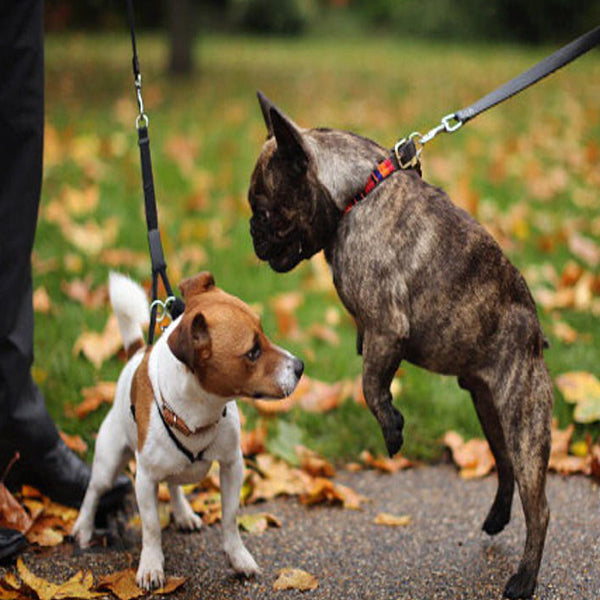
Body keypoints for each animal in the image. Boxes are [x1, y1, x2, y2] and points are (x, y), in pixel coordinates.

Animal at [72, 272, 302, 592]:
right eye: (253, 352)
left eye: (264, 334)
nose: (300, 367)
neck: (199, 413)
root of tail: (137, 353)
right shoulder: (144, 480)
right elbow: (151, 528)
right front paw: (151, 565)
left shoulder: (232, 465)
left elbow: (230, 518)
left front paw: (238, 557)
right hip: (109, 461)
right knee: (94, 492)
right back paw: (84, 527)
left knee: (174, 485)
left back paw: (182, 513)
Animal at [247, 92, 552, 600]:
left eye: (266, 210)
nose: (252, 231)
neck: (355, 194)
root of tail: (535, 333)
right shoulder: (377, 335)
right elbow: (372, 380)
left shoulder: (385, 331)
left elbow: (371, 386)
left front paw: (391, 428)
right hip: (489, 408)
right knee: (505, 463)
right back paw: (495, 518)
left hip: (522, 415)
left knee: (540, 506)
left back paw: (524, 580)